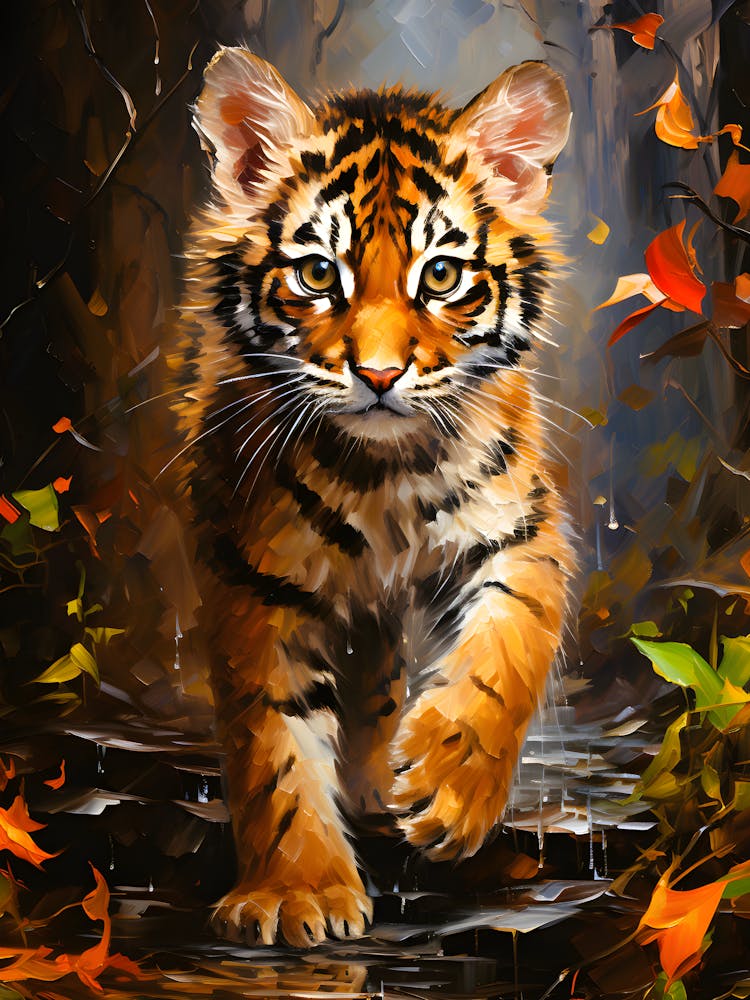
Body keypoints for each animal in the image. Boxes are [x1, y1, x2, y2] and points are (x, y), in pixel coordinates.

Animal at [167, 47, 573, 947]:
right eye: (319, 272)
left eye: (442, 275)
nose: (380, 375)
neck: (386, 475)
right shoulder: (259, 577)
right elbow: (273, 740)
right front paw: (297, 891)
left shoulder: (518, 532)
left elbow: (507, 652)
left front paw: (448, 788)